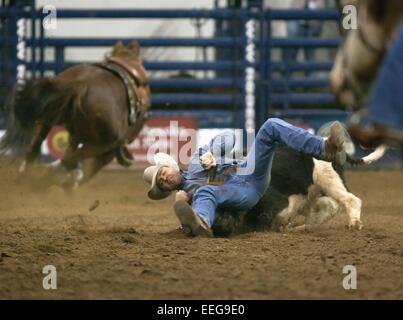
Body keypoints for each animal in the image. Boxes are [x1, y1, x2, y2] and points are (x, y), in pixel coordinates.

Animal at [0, 41, 152, 189]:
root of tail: (80, 83)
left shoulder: (76, 135)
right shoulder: (108, 150)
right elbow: (87, 169)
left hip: (47, 119)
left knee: (35, 148)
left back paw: (26, 177)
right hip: (103, 144)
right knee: (69, 160)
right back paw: (50, 180)